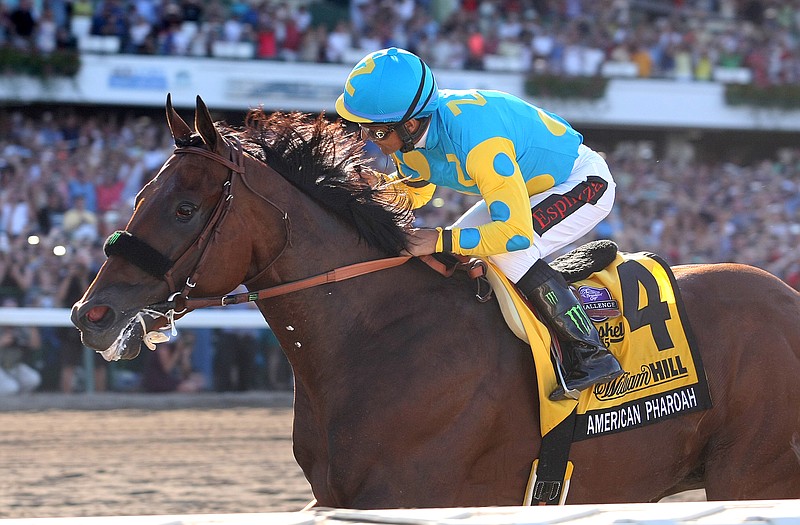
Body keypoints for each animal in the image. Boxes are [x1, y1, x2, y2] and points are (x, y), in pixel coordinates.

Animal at [70, 95, 800, 508]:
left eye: (185, 208)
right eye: (140, 194)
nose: (90, 314)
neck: (379, 337)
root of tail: (786, 296)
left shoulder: (408, 493)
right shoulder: (338, 499)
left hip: (751, 474)